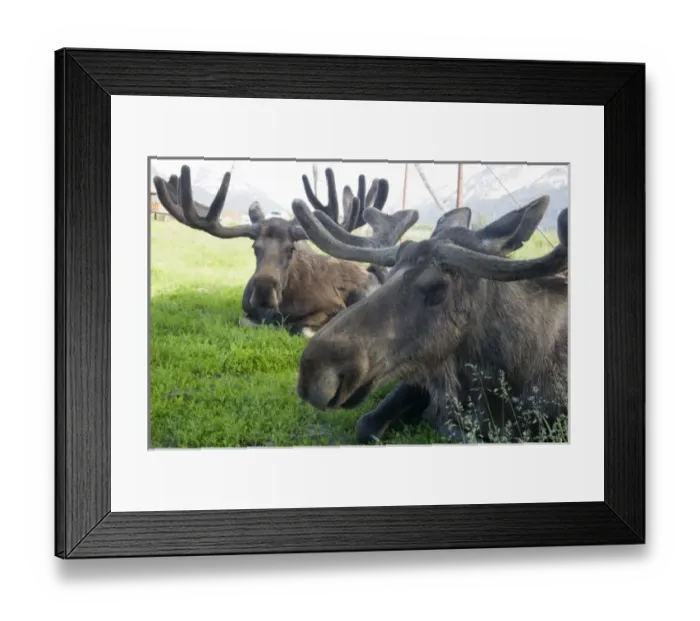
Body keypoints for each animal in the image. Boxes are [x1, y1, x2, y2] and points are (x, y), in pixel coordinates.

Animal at [152, 165, 392, 338]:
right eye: (254, 247)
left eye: (291, 248)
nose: (264, 290)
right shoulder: (247, 312)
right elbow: (247, 322)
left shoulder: (333, 306)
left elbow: (300, 328)